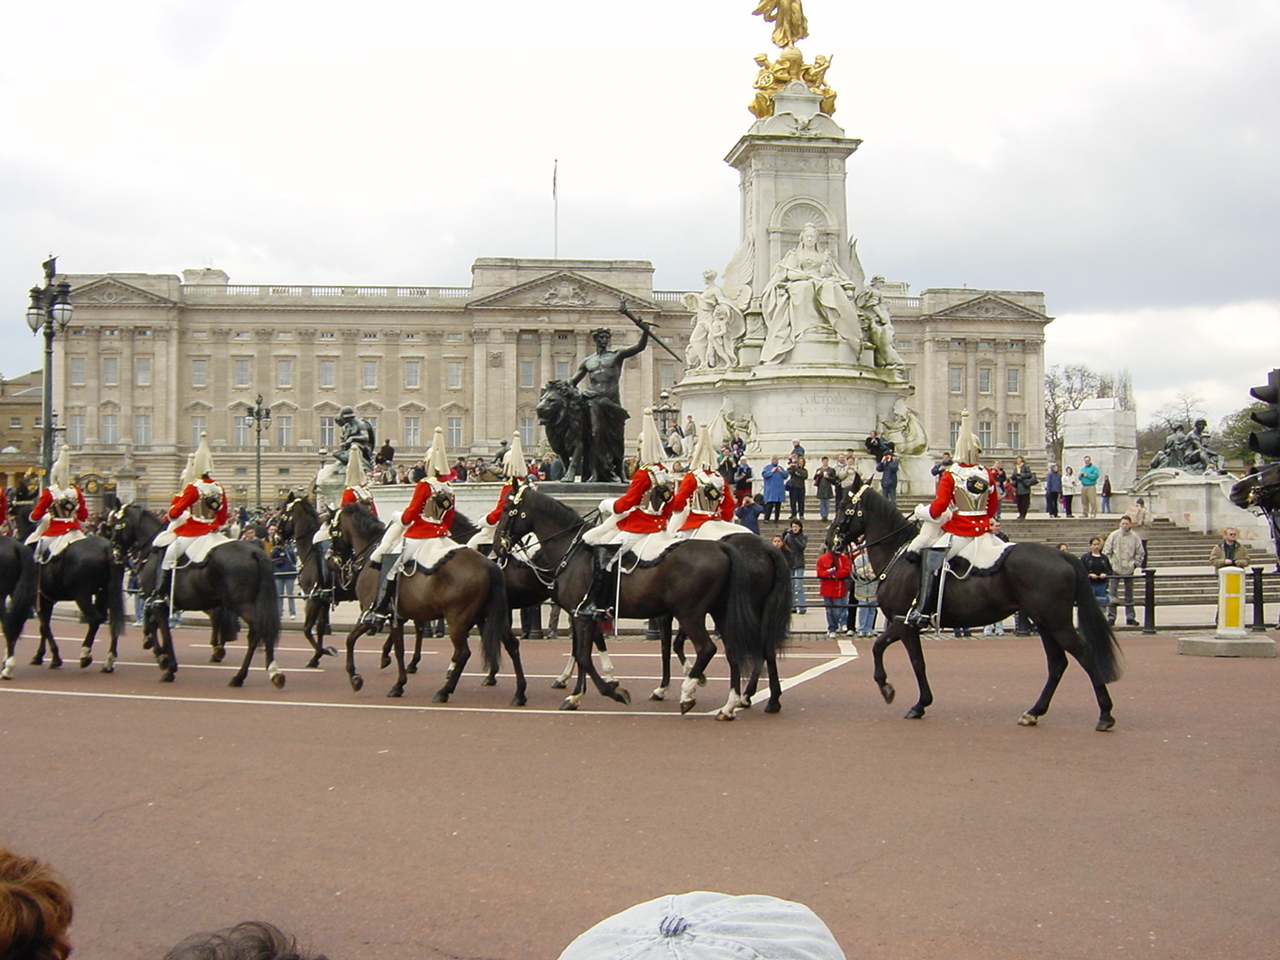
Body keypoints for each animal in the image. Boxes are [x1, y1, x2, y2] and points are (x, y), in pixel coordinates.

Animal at [104, 506, 285, 686]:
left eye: (115, 526)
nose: (114, 553)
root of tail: (255, 552)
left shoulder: (158, 602)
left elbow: (164, 631)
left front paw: (168, 665)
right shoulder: (159, 602)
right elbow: (152, 623)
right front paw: (157, 651)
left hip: (240, 603)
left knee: (255, 630)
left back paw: (248, 673)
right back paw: (263, 672)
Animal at [332, 504, 527, 706]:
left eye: (331, 529)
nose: (332, 559)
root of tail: (489, 564)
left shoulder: (369, 613)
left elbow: (352, 640)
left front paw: (356, 677)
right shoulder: (399, 616)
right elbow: (399, 648)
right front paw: (398, 679)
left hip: (457, 620)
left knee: (463, 653)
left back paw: (444, 691)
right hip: (490, 615)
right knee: (511, 645)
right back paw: (519, 693)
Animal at [829, 481, 1121, 727]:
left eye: (844, 507)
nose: (829, 543)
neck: (899, 555)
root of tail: (1062, 556)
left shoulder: (906, 623)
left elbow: (915, 662)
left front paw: (916, 702)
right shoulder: (901, 622)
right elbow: (879, 647)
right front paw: (888, 687)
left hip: (1056, 623)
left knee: (1084, 656)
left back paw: (1105, 714)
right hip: (1046, 623)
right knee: (1057, 664)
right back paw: (1034, 712)